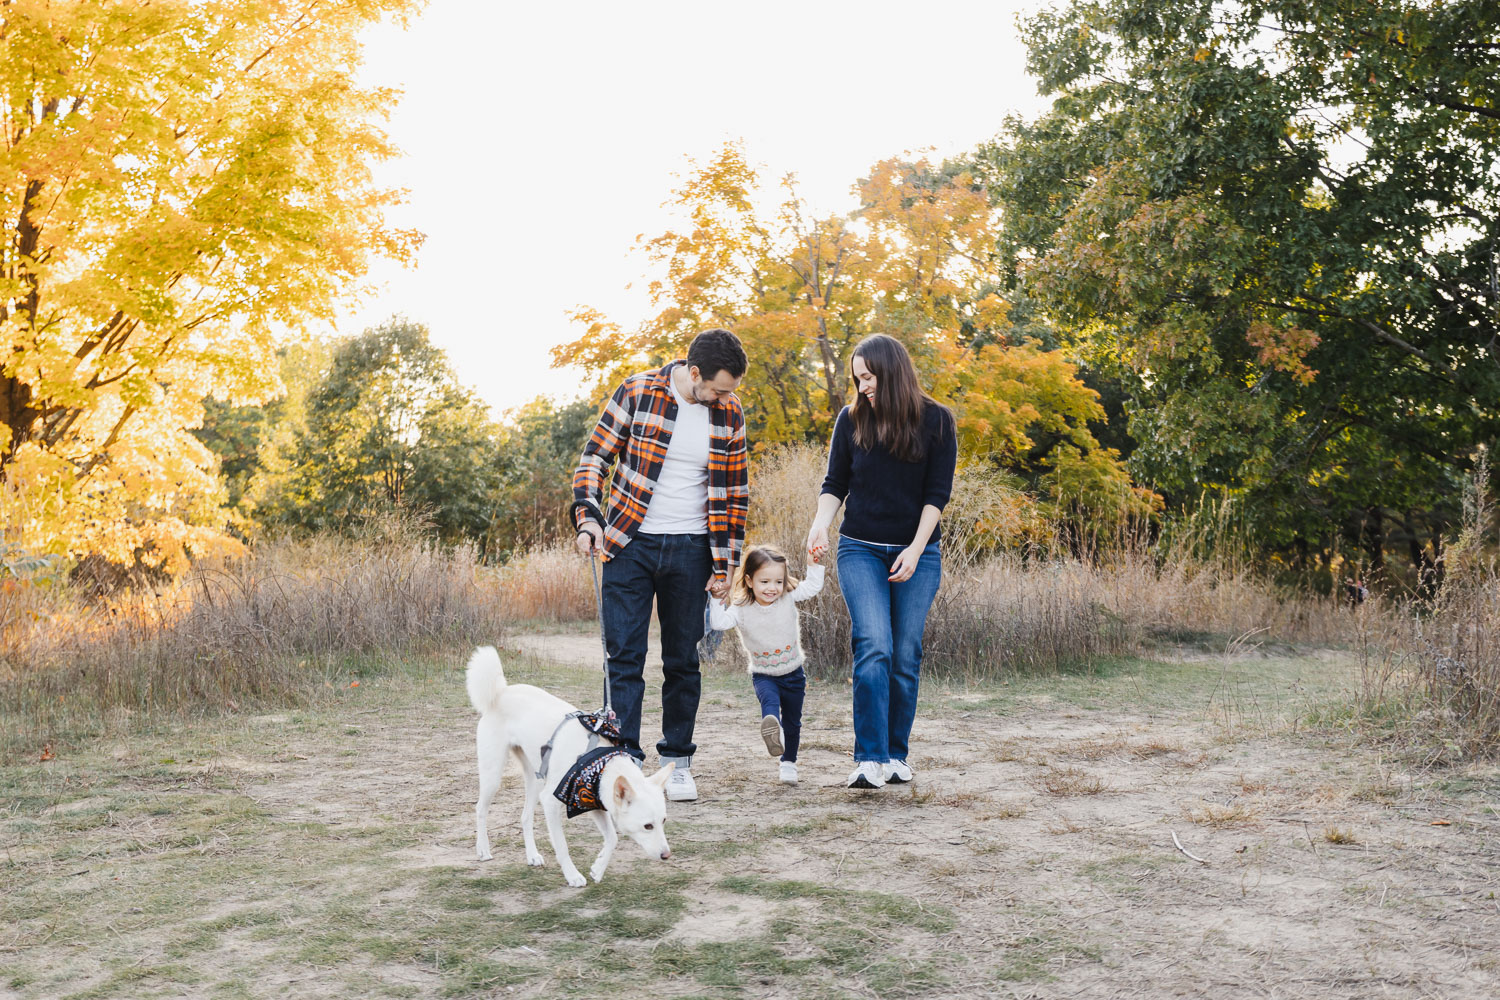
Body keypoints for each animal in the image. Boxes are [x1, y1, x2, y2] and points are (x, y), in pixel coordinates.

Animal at [465, 644, 672, 887]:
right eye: (648, 826)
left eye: (663, 821)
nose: (667, 855)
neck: (599, 762)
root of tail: (501, 693)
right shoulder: (552, 802)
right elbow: (562, 846)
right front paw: (573, 876)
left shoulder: (593, 801)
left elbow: (612, 838)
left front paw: (598, 869)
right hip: (494, 774)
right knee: (480, 809)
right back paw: (483, 849)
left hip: (535, 780)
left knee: (525, 817)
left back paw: (532, 855)